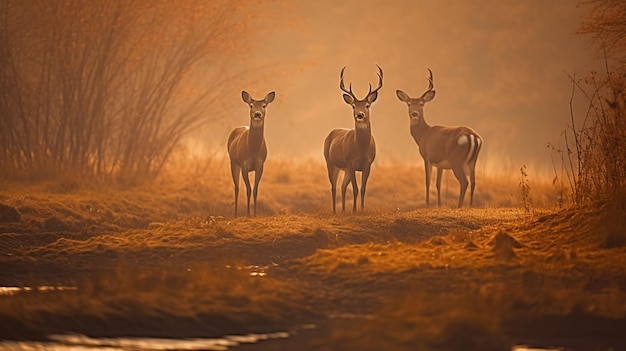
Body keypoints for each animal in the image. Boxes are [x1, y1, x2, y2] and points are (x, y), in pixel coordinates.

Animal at [324, 65, 382, 214]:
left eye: (367, 105)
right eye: (353, 106)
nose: (360, 115)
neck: (361, 149)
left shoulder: (368, 163)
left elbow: (363, 189)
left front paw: (361, 209)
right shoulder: (350, 162)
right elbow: (355, 189)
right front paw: (355, 210)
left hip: (344, 169)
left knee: (342, 186)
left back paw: (344, 210)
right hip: (330, 162)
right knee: (333, 187)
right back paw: (335, 211)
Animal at [398, 67, 480, 208]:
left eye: (421, 104)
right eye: (408, 104)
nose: (414, 114)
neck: (422, 136)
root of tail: (472, 137)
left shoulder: (427, 157)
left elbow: (427, 181)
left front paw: (427, 204)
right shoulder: (440, 164)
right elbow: (438, 183)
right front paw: (440, 204)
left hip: (456, 160)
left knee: (464, 182)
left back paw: (459, 205)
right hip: (472, 161)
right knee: (474, 181)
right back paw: (470, 205)